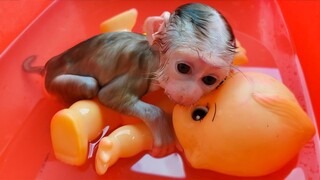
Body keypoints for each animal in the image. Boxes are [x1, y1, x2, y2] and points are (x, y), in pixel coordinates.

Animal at [24, 3, 235, 157]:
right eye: (183, 68)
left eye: (209, 79)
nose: (189, 93)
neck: (155, 59)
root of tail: (50, 64)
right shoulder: (139, 71)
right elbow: (108, 95)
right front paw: (162, 126)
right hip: (54, 83)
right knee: (90, 85)